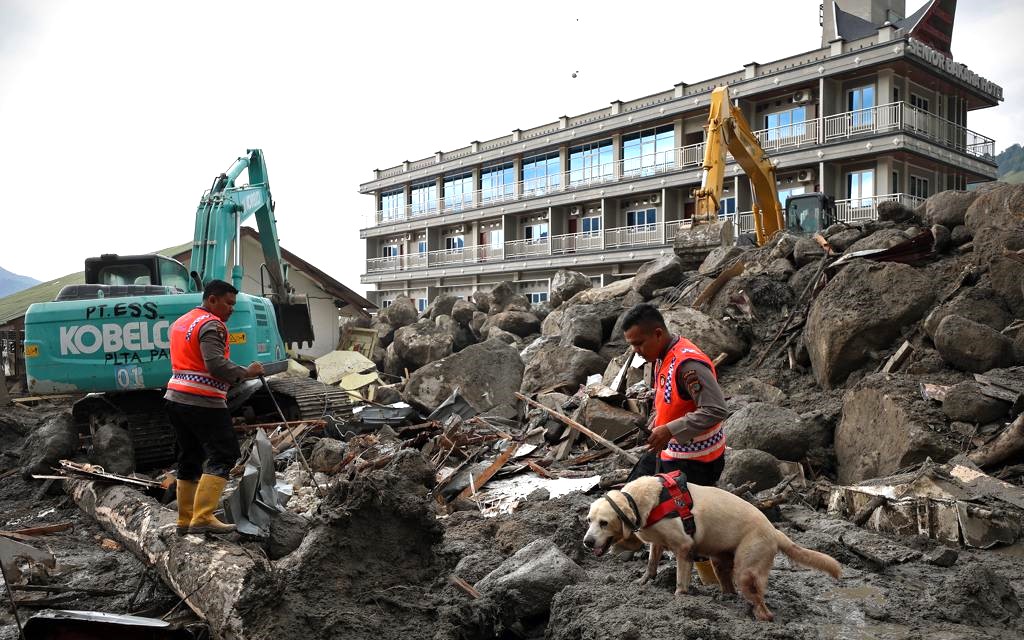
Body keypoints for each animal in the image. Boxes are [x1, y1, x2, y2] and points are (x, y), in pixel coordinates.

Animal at [585, 475, 839, 618]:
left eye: (604, 522)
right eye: (588, 520)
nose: (587, 542)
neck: (639, 501)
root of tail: (774, 531)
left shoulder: (684, 547)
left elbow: (681, 579)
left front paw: (680, 598)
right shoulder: (657, 542)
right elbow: (651, 563)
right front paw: (644, 581)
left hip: (747, 570)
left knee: (762, 606)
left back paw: (760, 617)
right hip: (720, 562)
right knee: (729, 586)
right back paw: (725, 599)